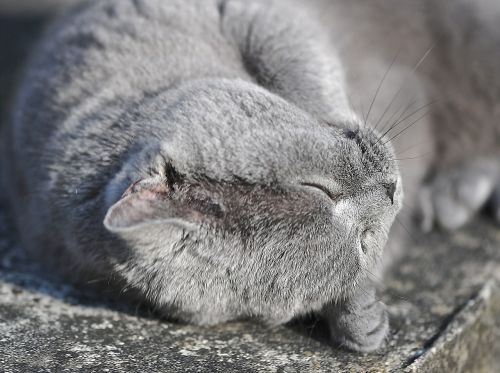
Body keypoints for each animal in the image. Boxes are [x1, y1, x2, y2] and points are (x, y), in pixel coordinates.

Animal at [3, 0, 500, 352]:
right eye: (362, 240)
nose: (393, 190)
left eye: (315, 186)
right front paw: (359, 315)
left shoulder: (238, 12)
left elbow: (297, 61)